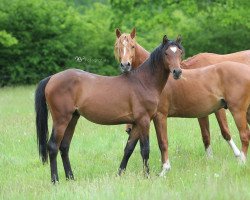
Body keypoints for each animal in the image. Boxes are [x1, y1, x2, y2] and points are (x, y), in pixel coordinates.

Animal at [34, 35, 184, 183]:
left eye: (180, 53)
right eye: (166, 53)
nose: (177, 72)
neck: (143, 82)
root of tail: (52, 78)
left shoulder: (136, 123)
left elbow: (128, 149)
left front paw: (119, 174)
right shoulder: (144, 120)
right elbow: (145, 149)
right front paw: (147, 176)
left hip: (73, 118)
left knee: (64, 146)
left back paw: (71, 178)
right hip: (61, 120)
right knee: (53, 146)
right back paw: (55, 181)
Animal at [114, 28, 250, 176]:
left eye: (132, 46)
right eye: (118, 47)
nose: (125, 65)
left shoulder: (160, 116)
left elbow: (163, 142)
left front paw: (164, 170)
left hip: (237, 111)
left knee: (244, 135)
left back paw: (242, 162)